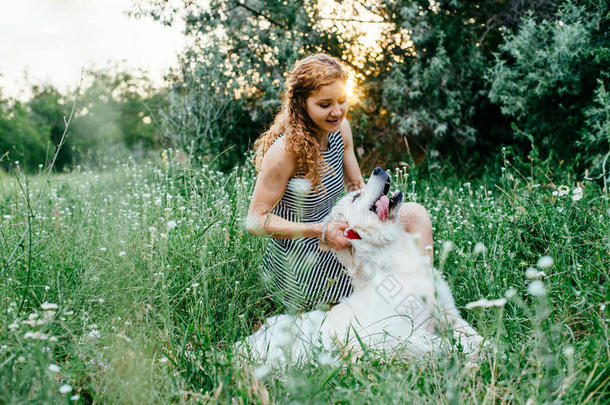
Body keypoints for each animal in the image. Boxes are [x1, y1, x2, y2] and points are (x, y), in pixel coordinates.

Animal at [235, 167, 482, 366]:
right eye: (356, 196)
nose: (378, 169)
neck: (387, 255)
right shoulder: (396, 335)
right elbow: (439, 345)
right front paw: (471, 356)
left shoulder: (448, 312)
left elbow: (473, 334)